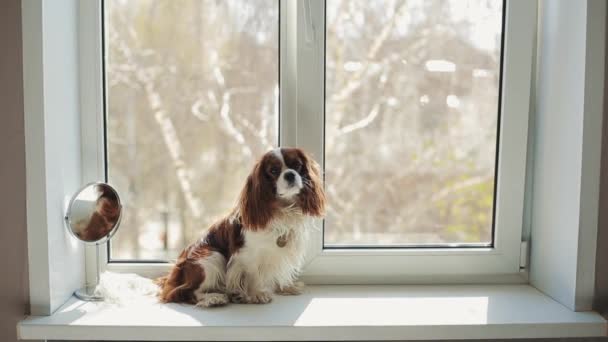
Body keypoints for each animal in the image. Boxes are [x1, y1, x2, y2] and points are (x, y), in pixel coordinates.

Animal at [158, 147, 328, 308]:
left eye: (297, 165)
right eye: (274, 171)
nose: (290, 175)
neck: (282, 209)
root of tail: (175, 272)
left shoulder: (282, 253)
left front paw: (286, 287)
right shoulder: (247, 255)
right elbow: (253, 274)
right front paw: (257, 294)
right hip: (211, 257)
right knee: (185, 292)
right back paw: (214, 298)